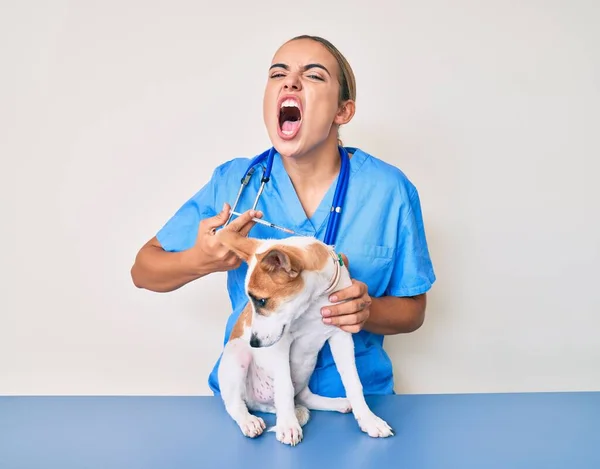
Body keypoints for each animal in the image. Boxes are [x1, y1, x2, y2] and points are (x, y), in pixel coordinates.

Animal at [214, 229, 394, 444]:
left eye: (262, 301)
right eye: (253, 301)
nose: (254, 343)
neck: (315, 301)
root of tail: (261, 404)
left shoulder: (341, 336)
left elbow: (353, 382)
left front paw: (368, 419)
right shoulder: (281, 343)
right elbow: (284, 387)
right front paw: (288, 426)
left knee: (303, 397)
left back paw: (337, 403)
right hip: (236, 354)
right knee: (235, 404)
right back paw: (250, 421)